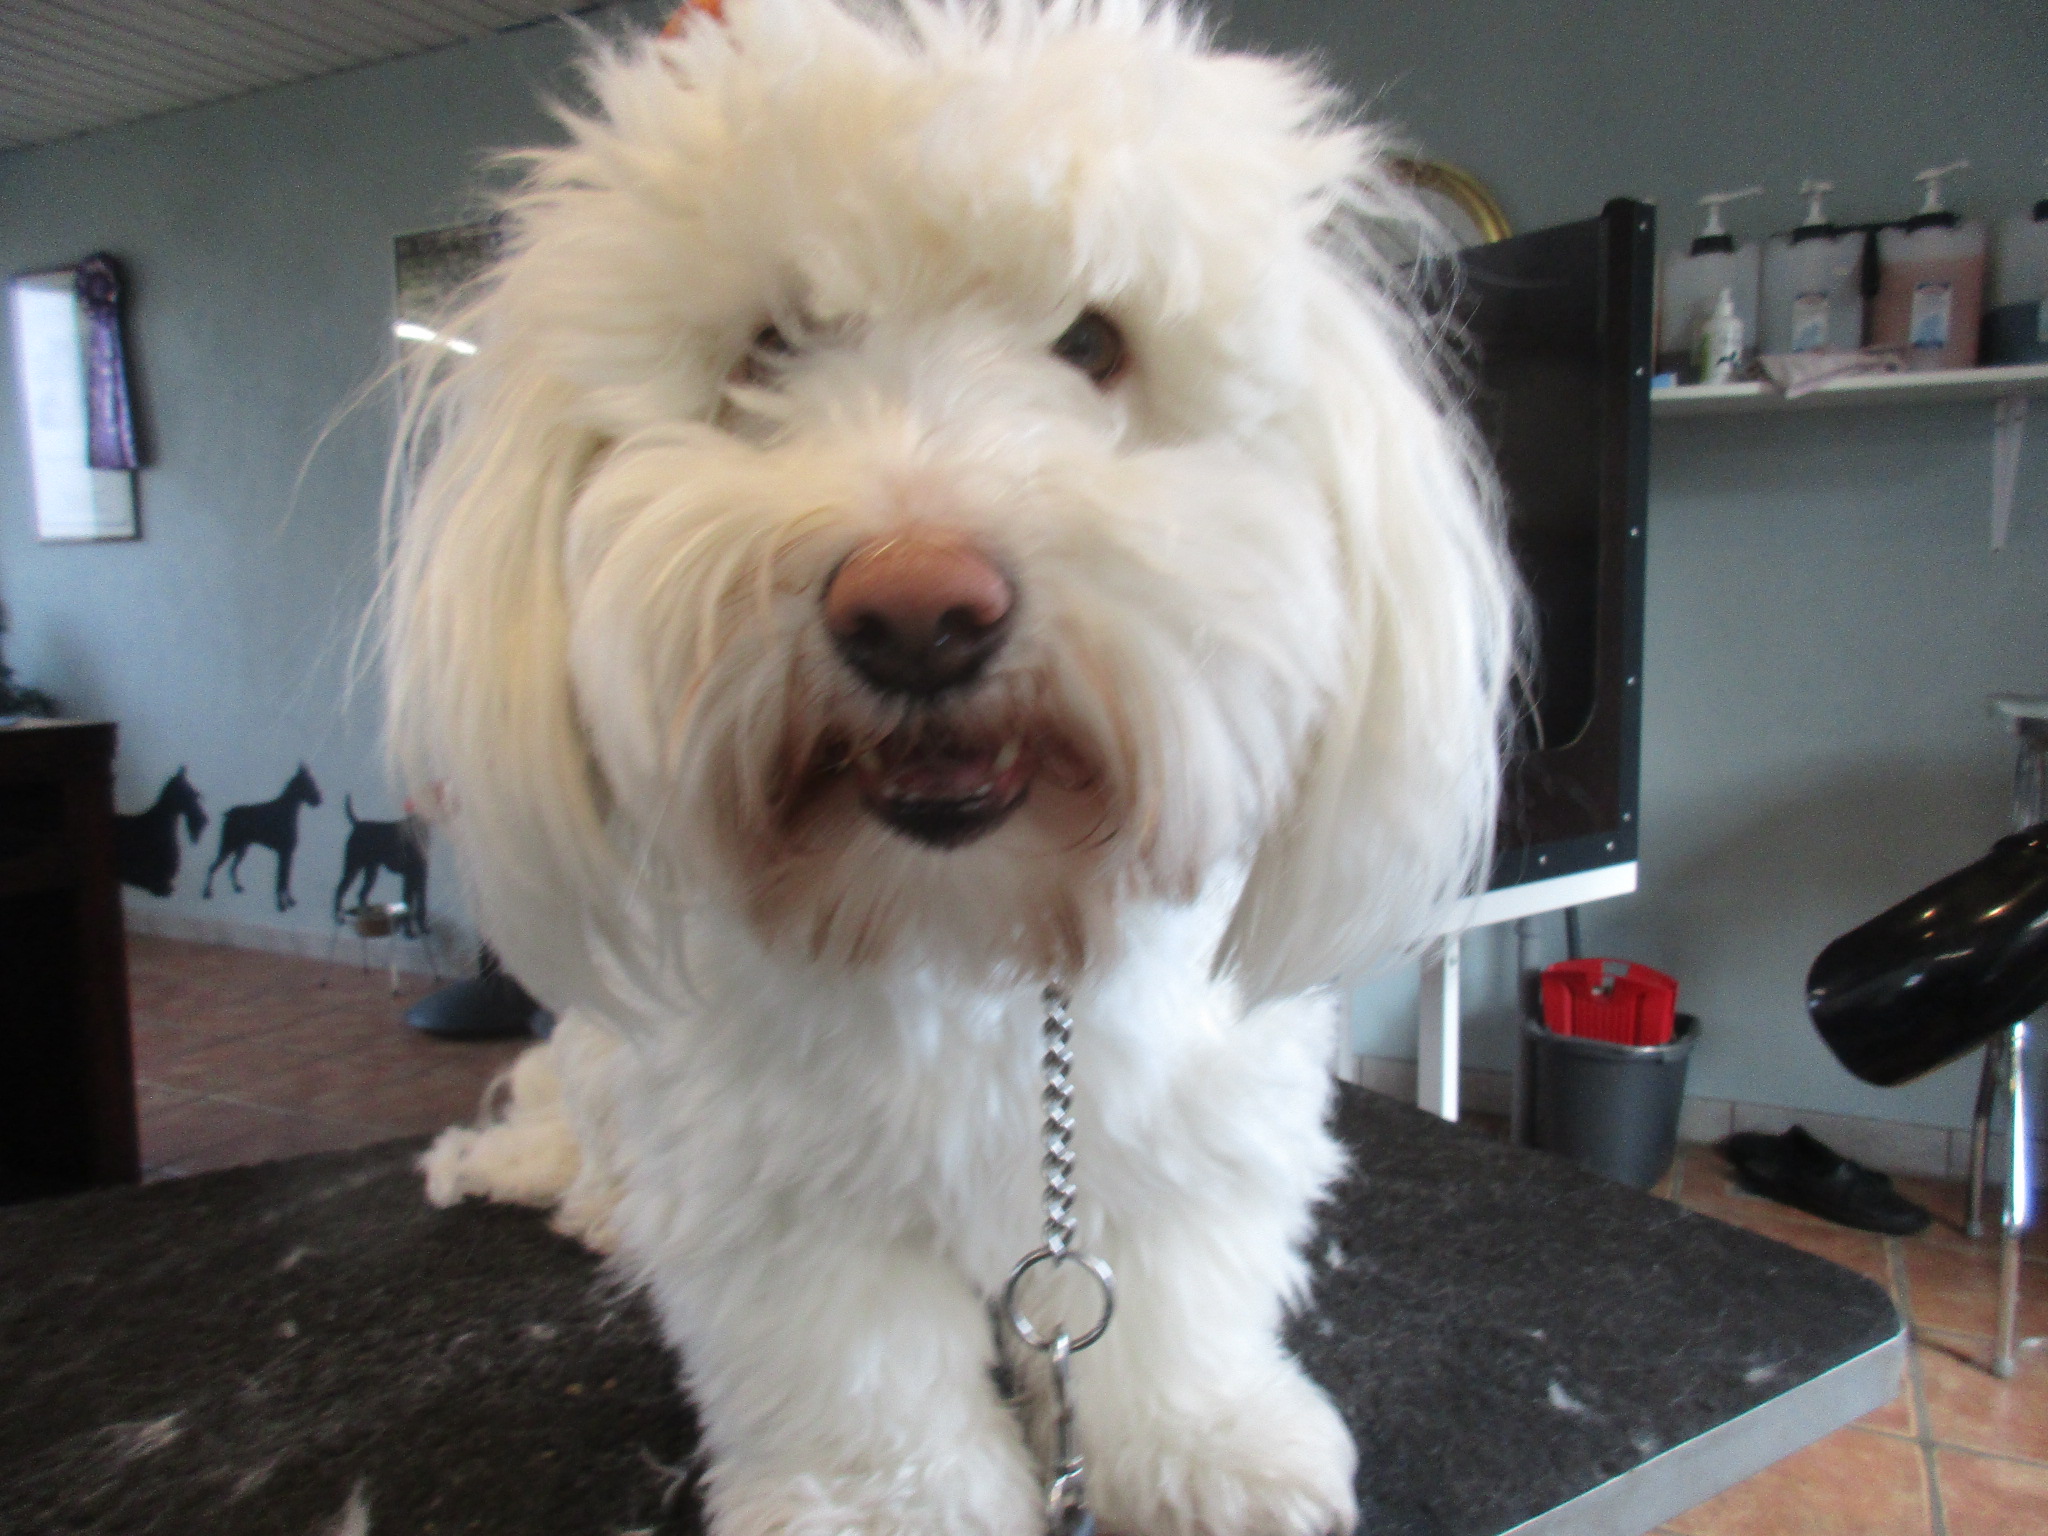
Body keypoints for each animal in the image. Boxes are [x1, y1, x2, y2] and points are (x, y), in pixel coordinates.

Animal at [202, 763, 322, 911]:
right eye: (308, 783)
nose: (319, 800)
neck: (288, 811)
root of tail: (228, 814)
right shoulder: (284, 853)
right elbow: (281, 880)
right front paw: (281, 905)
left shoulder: (288, 854)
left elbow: (286, 879)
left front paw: (289, 901)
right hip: (228, 845)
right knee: (213, 867)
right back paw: (207, 893)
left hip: (242, 847)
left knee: (232, 868)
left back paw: (237, 887)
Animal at [332, 795, 431, 935]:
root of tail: (358, 823)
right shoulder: (414, 876)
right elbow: (415, 905)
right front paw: (414, 931)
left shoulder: (414, 878)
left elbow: (414, 904)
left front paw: (416, 930)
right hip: (353, 866)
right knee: (341, 890)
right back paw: (339, 918)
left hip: (371, 870)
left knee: (362, 894)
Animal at [390, 3, 1515, 1533]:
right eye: (769, 345)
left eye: (1095, 339)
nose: (916, 612)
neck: (971, 929)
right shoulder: (779, 1197)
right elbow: (856, 1377)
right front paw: (887, 1503)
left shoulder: (1179, 1147)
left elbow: (1179, 1307)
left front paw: (1208, 1447)